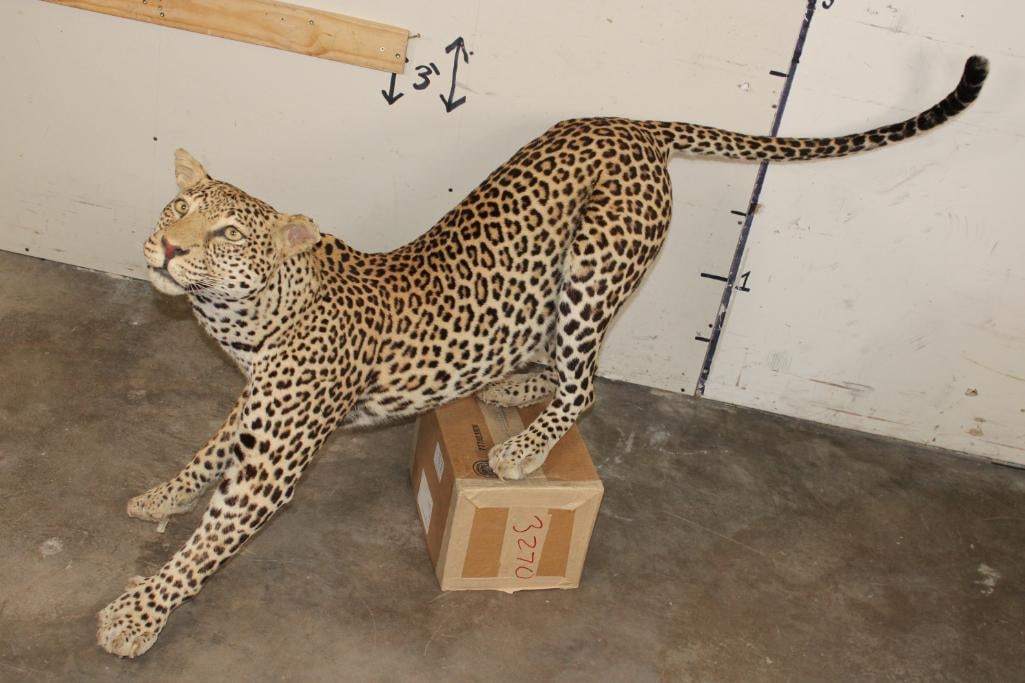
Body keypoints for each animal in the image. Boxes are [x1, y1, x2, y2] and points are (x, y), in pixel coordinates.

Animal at [97, 56, 988, 657]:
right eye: (177, 206)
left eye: (223, 232)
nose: (168, 247)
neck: (254, 316)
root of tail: (632, 124)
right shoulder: (255, 407)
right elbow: (206, 450)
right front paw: (159, 494)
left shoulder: (276, 456)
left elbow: (208, 543)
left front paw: (137, 614)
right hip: (549, 290)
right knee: (569, 365)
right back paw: (514, 388)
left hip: (592, 267)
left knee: (590, 381)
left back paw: (522, 449)